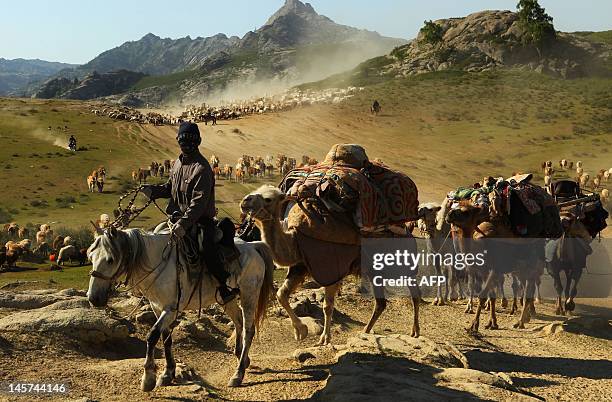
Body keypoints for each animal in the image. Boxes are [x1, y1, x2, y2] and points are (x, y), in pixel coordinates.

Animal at [86, 228, 274, 392]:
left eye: (110, 259)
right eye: (90, 257)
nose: (93, 298)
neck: (157, 263)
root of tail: (253, 246)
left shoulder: (171, 309)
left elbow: (152, 335)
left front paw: (148, 378)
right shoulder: (157, 307)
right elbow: (165, 338)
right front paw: (168, 373)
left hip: (249, 294)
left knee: (249, 330)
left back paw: (238, 374)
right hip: (227, 299)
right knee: (238, 322)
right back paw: (243, 358)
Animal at [239, 185, 420, 346]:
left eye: (268, 199)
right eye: (256, 191)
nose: (245, 200)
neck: (295, 240)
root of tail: (409, 234)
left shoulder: (331, 270)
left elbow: (327, 306)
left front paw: (324, 338)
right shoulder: (300, 266)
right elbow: (281, 295)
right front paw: (301, 331)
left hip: (400, 264)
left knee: (414, 292)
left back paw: (415, 331)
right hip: (374, 270)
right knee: (381, 303)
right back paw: (366, 330)